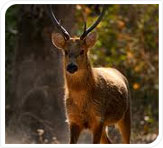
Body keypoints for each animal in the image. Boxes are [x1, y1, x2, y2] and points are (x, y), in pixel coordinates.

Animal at [49, 5, 131, 144]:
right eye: (65, 51)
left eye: (82, 51)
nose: (71, 66)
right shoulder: (72, 119)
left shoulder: (98, 118)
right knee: (109, 142)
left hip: (126, 113)